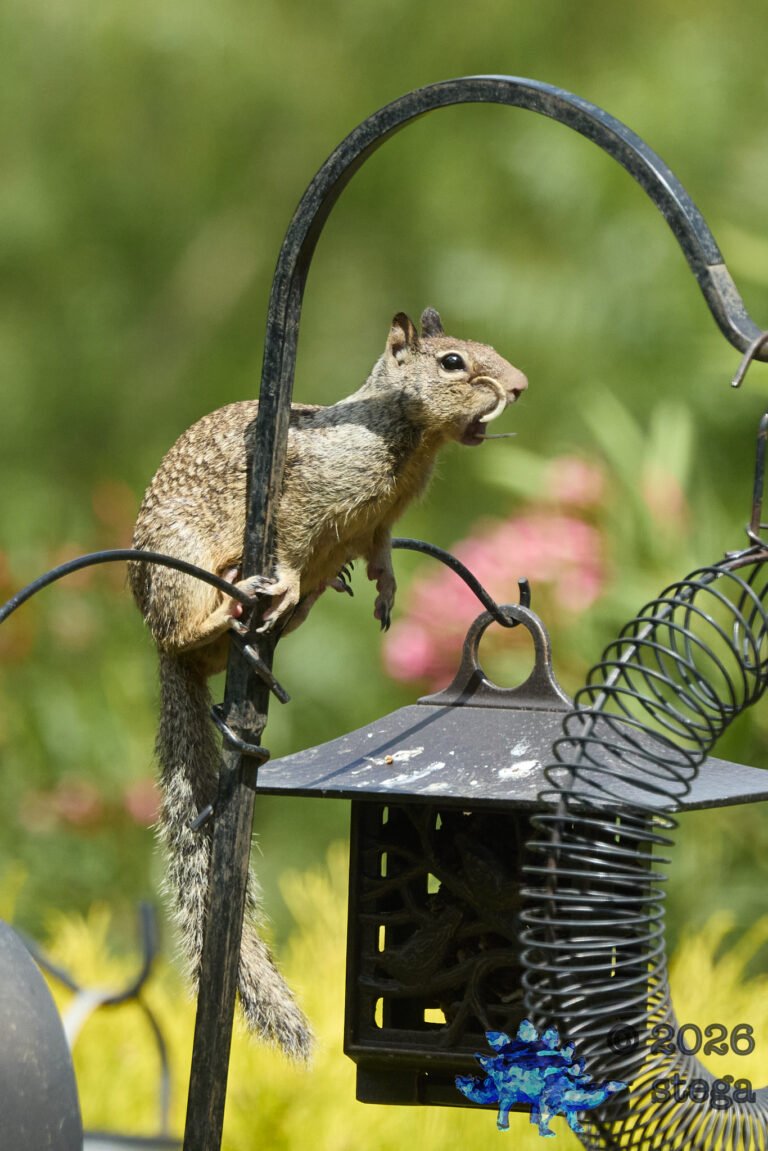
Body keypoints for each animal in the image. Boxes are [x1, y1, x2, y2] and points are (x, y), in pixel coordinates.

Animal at [128, 308, 528, 1061]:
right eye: (453, 362)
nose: (517, 386)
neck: (407, 442)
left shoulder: (382, 520)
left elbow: (381, 549)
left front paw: (384, 587)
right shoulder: (304, 493)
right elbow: (289, 538)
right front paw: (283, 576)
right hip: (178, 573)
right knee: (184, 629)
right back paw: (233, 600)